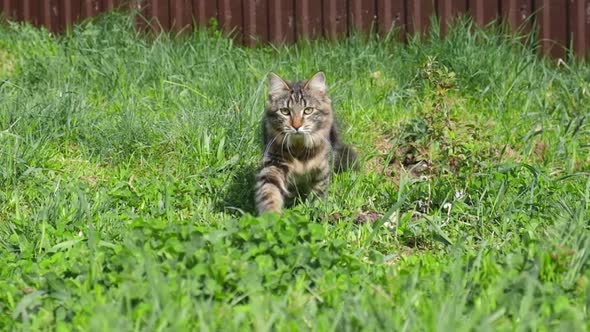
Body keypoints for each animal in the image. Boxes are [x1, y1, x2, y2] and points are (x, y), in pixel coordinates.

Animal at [254, 71, 356, 214]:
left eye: (308, 110)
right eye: (285, 111)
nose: (296, 126)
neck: (299, 150)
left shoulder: (322, 169)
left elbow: (318, 193)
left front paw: (315, 210)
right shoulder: (274, 164)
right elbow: (269, 192)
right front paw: (272, 215)